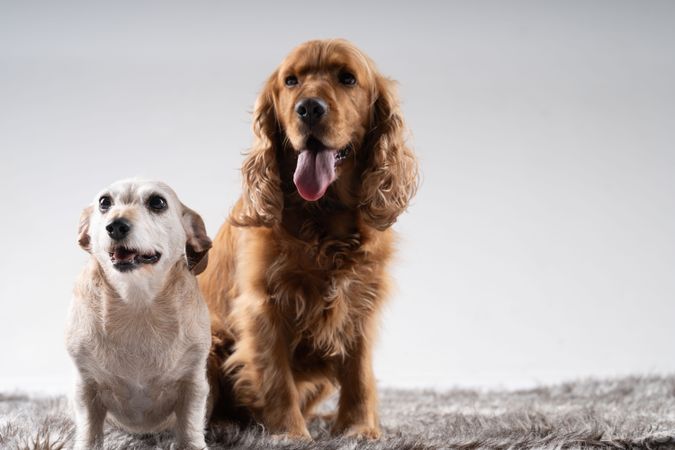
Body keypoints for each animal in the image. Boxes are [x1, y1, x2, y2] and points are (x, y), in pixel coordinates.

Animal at [65, 179, 214, 450]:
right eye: (104, 202)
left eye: (158, 202)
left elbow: (189, 427)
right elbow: (89, 432)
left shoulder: (193, 383)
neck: (136, 302)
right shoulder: (86, 386)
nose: (115, 225)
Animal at [201, 39, 420, 440]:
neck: (324, 218)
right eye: (291, 80)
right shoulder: (263, 305)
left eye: (347, 78)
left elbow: (360, 375)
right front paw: (290, 435)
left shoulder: (361, 301)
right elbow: (275, 379)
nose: (309, 108)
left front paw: (358, 429)